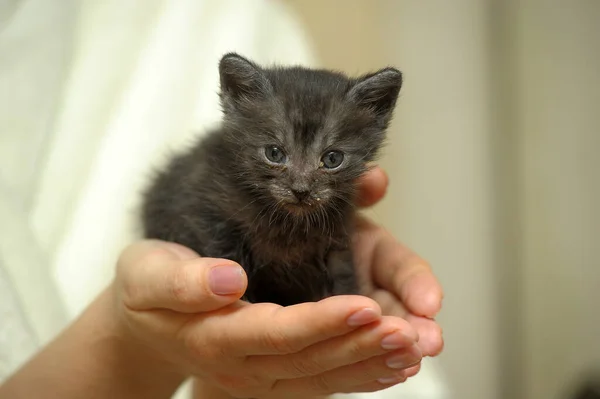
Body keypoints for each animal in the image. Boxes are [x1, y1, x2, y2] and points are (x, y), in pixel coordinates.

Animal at [142, 54, 404, 306]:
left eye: (332, 159)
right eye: (274, 153)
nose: (301, 190)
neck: (288, 223)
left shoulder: (338, 234)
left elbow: (342, 270)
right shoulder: (202, 207)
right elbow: (223, 248)